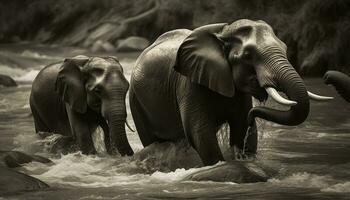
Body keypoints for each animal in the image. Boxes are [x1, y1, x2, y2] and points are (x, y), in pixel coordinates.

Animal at [130, 19, 332, 166]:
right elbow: (200, 132)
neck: (223, 32)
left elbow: (241, 126)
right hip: (136, 100)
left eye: (285, 48)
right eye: (247, 55)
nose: (253, 114)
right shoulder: (189, 84)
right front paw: (219, 165)